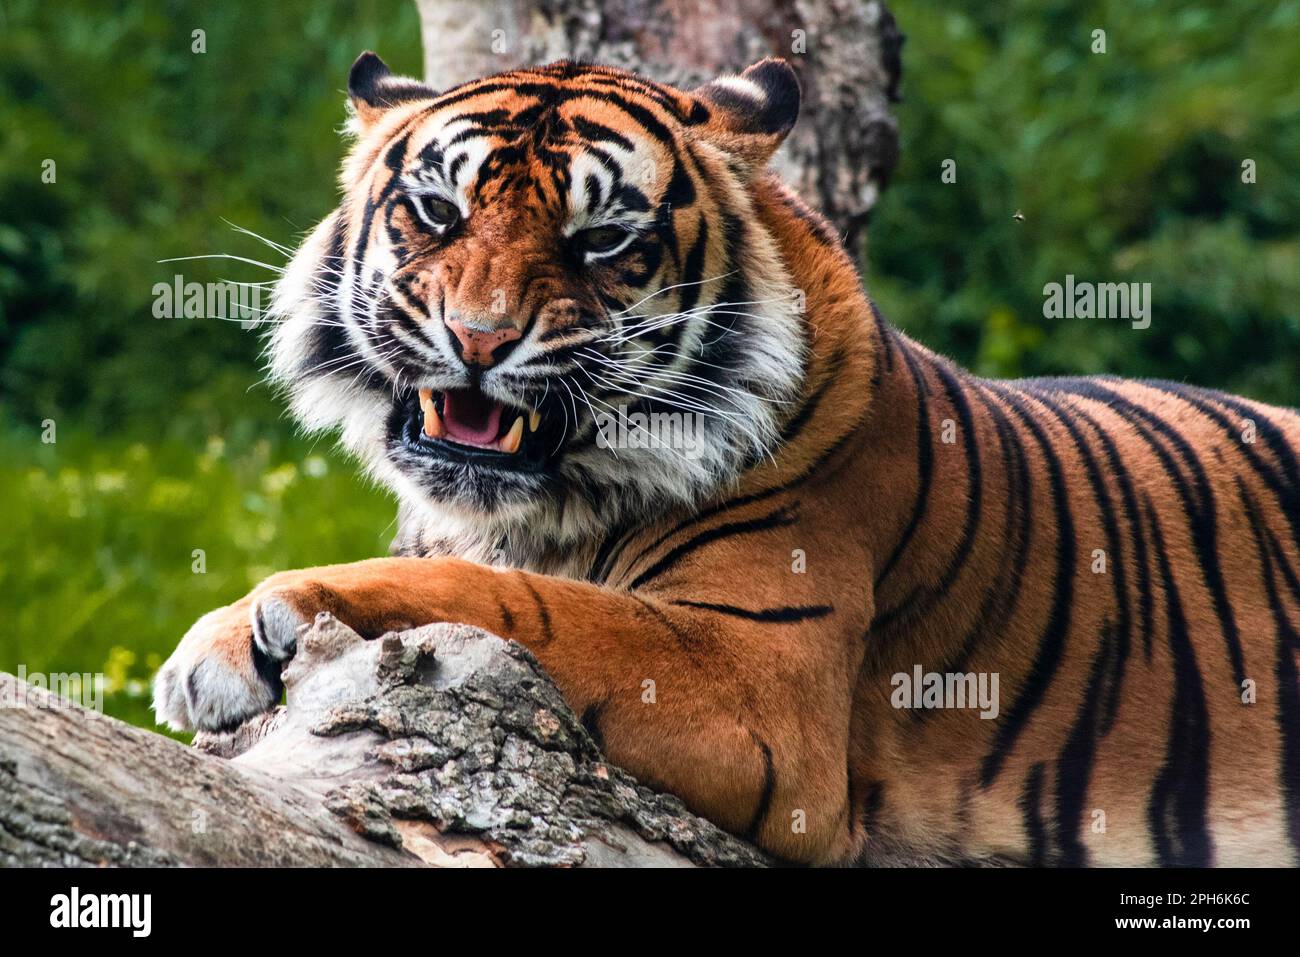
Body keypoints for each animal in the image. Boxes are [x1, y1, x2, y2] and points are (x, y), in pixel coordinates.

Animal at [154, 51, 1300, 867]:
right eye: (437, 211)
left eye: (601, 242)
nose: (478, 340)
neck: (541, 510)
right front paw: (228, 643)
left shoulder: (758, 674)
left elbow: (520, 602)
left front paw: (241, 632)